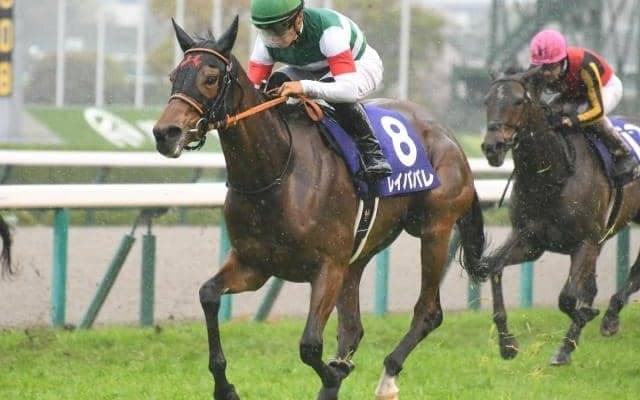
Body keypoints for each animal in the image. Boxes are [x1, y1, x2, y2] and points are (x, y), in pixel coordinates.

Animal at [153, 17, 487, 400]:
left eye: (210, 78)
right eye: (173, 76)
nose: (165, 132)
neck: (276, 173)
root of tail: (449, 136)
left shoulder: (327, 267)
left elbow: (310, 345)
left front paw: (333, 375)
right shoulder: (254, 264)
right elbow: (208, 294)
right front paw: (225, 386)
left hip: (434, 228)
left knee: (428, 311)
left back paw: (387, 376)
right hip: (360, 251)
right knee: (353, 326)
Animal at [481, 68, 640, 365]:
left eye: (519, 101)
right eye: (487, 100)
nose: (492, 147)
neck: (552, 176)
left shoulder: (585, 243)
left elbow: (567, 298)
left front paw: (576, 332)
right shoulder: (530, 242)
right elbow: (494, 268)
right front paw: (507, 344)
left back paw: (611, 316)